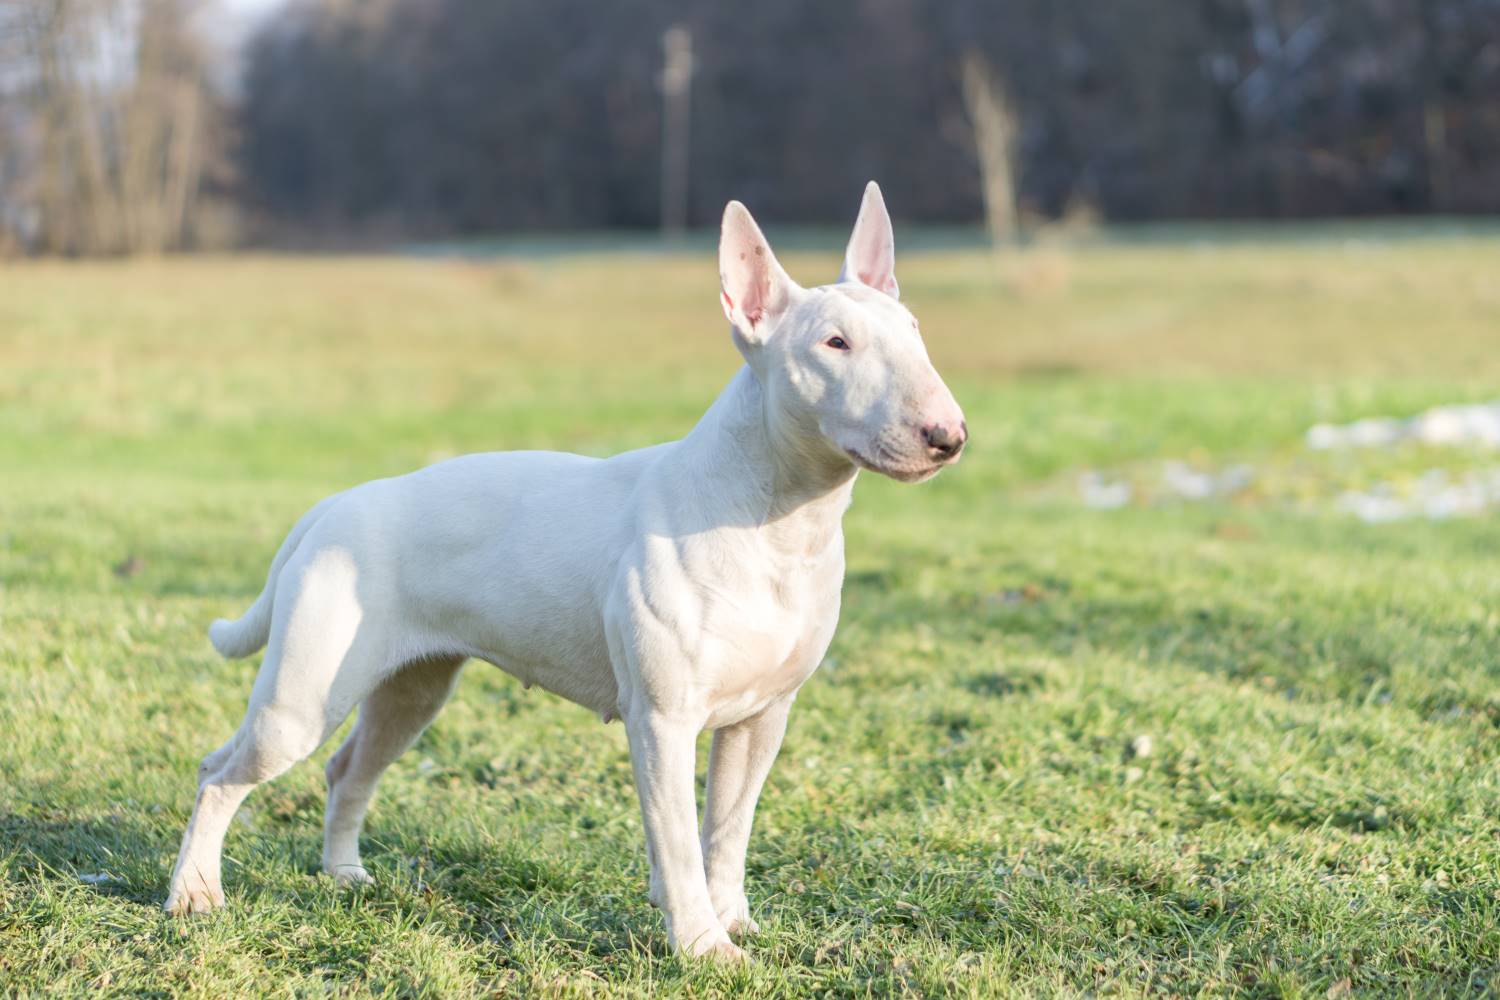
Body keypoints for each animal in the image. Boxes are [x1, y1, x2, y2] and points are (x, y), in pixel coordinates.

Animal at [164, 182, 960, 959]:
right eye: (835, 343)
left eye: (916, 330)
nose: (948, 436)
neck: (776, 520)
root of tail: (330, 507)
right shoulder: (662, 723)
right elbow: (678, 840)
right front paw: (703, 946)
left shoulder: (762, 718)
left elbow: (728, 830)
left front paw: (736, 923)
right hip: (301, 700)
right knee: (220, 774)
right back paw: (195, 894)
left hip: (410, 691)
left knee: (346, 770)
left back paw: (344, 875)